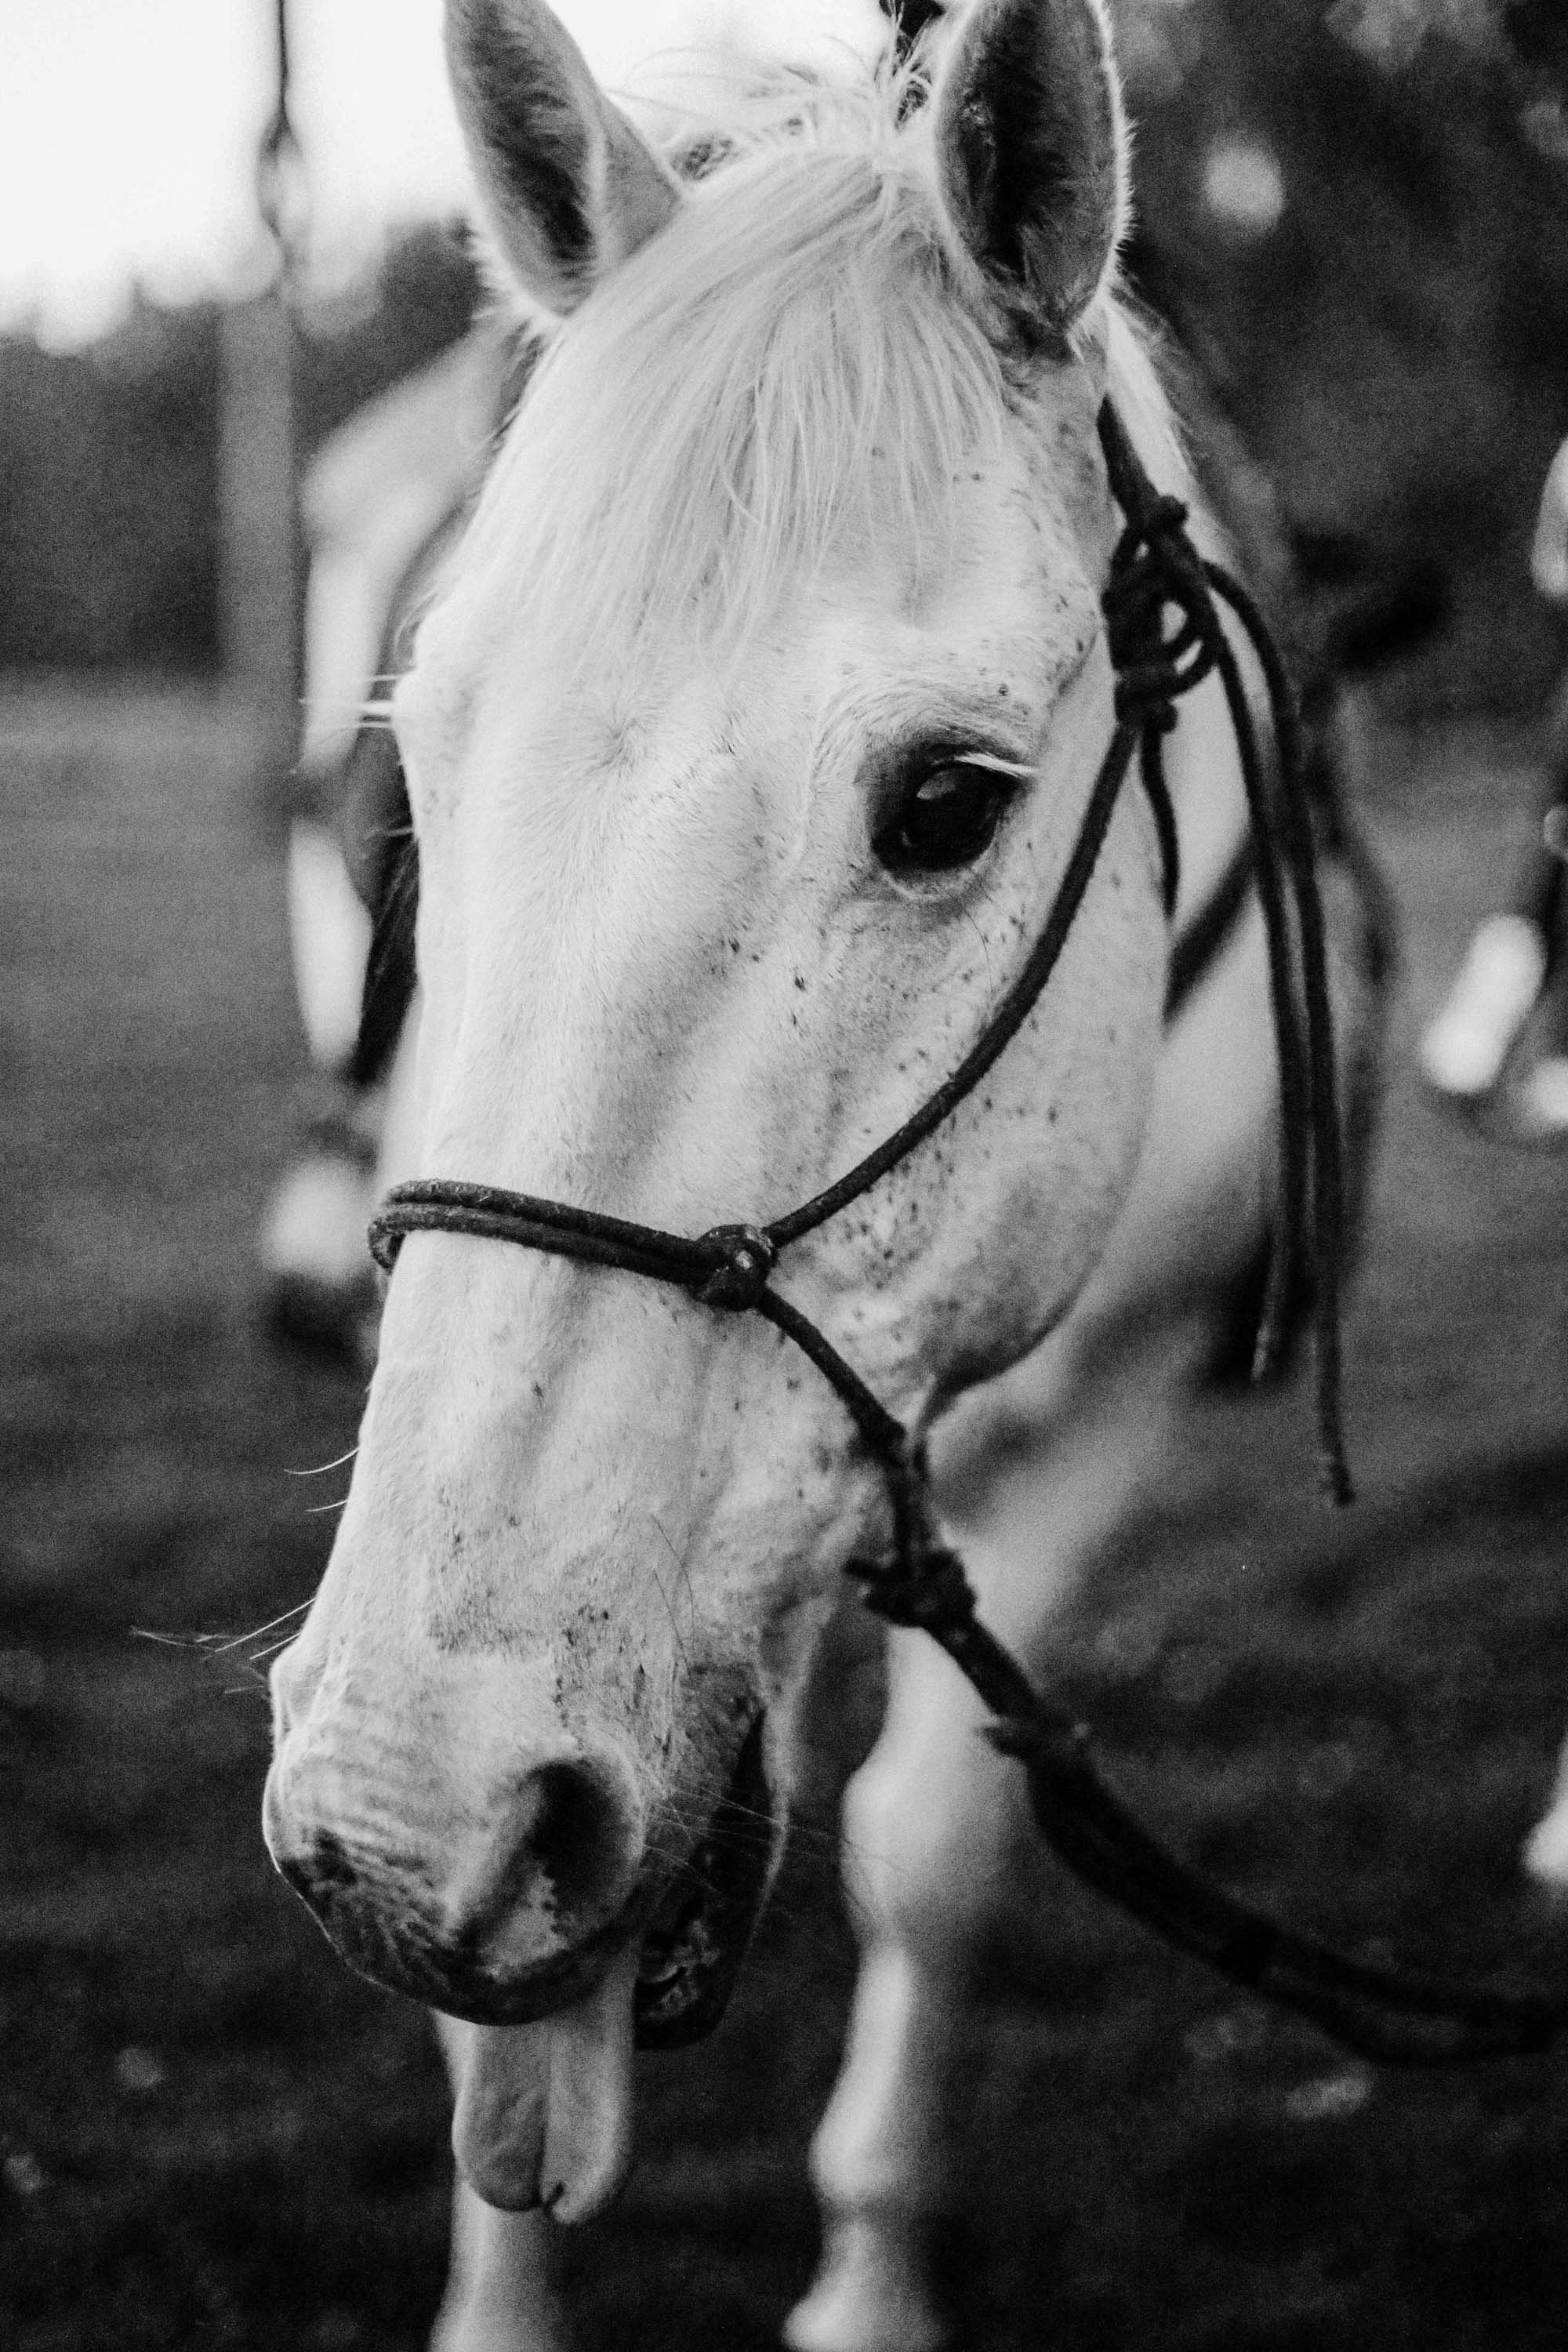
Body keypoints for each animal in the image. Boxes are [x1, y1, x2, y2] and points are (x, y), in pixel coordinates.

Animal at [263, 9, 1382, 2343]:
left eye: (950, 800)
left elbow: (932, 1860)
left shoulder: (1099, 1410)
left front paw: (866, 2276)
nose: (395, 1819)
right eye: (418, 766)